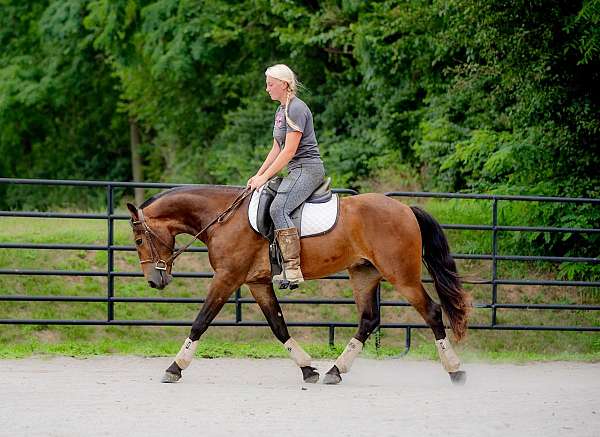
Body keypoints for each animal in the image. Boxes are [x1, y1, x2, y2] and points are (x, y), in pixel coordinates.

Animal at [126, 184, 472, 384]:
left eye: (140, 240)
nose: (154, 280)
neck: (223, 217)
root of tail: (405, 209)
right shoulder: (257, 283)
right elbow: (279, 326)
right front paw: (308, 369)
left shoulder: (227, 278)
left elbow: (201, 321)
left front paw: (175, 366)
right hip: (364, 274)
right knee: (369, 319)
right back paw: (335, 371)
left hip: (401, 275)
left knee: (431, 311)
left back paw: (455, 369)